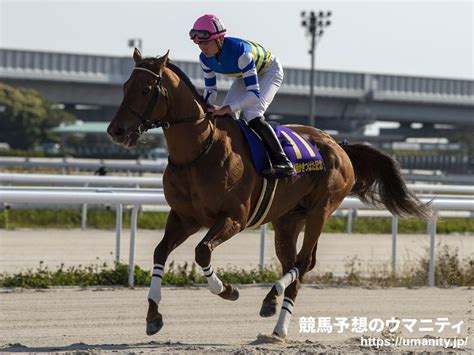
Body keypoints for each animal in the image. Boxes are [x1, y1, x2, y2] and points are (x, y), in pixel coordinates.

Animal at [106, 48, 430, 340]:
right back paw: (274, 311)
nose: (115, 131)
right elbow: (160, 252)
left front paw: (228, 290)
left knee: (303, 262)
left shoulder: (234, 217)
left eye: (146, 89)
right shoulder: (184, 217)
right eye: (124, 87)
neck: (199, 152)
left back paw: (277, 310)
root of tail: (338, 145)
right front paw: (153, 316)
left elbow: (202, 251)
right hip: (287, 220)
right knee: (293, 262)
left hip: (320, 210)